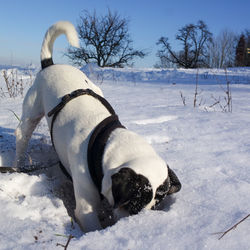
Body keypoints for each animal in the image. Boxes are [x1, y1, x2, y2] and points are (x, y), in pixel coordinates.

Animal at [14, 21, 182, 232]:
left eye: (157, 205)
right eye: (133, 206)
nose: (137, 224)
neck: (105, 144)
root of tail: (50, 65)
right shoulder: (86, 209)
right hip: (31, 115)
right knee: (22, 136)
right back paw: (18, 164)